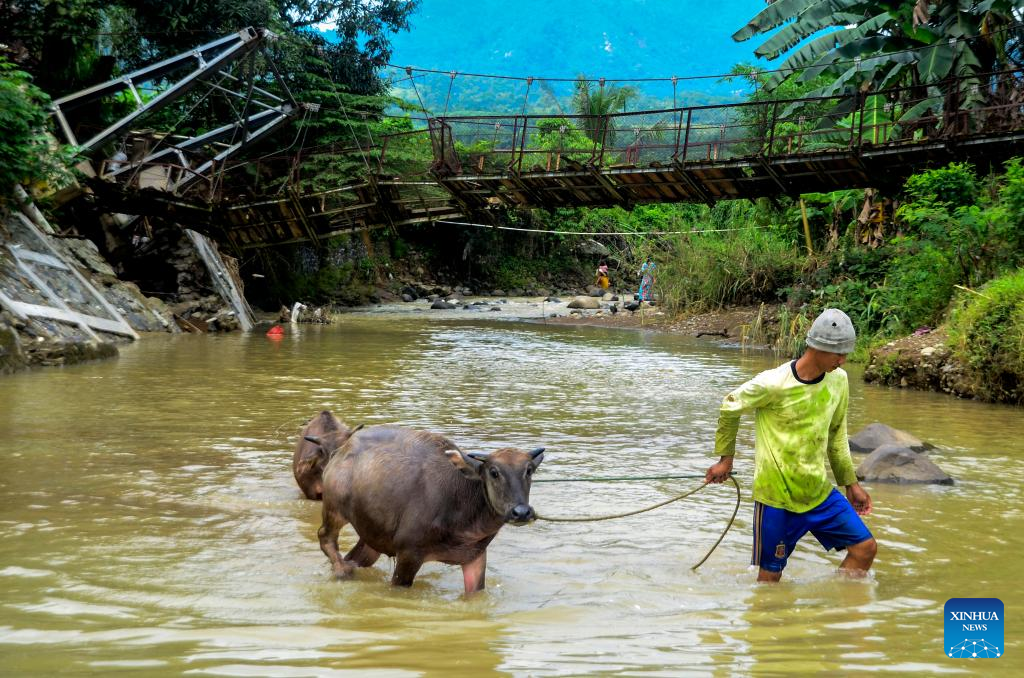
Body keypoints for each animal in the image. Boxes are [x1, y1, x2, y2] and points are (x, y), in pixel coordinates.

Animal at [318, 424, 544, 594]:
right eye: (494, 472)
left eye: (529, 470)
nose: (521, 512)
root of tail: (339, 452)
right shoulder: (409, 554)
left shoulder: (476, 557)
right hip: (334, 510)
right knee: (325, 537)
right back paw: (342, 571)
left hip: (372, 534)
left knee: (357, 555)